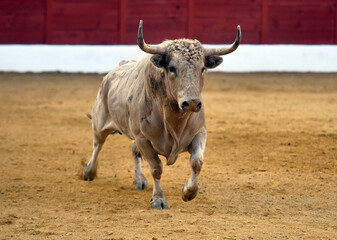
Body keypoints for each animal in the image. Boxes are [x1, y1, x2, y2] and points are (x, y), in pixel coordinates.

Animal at [82, 19, 239, 209]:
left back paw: (139, 180)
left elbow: (197, 162)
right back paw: (89, 171)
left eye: (202, 68)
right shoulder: (143, 138)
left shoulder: (199, 132)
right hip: (100, 122)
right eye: (171, 68)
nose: (192, 103)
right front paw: (158, 200)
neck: (174, 119)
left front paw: (188, 192)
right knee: (98, 144)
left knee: (133, 151)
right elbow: (156, 168)